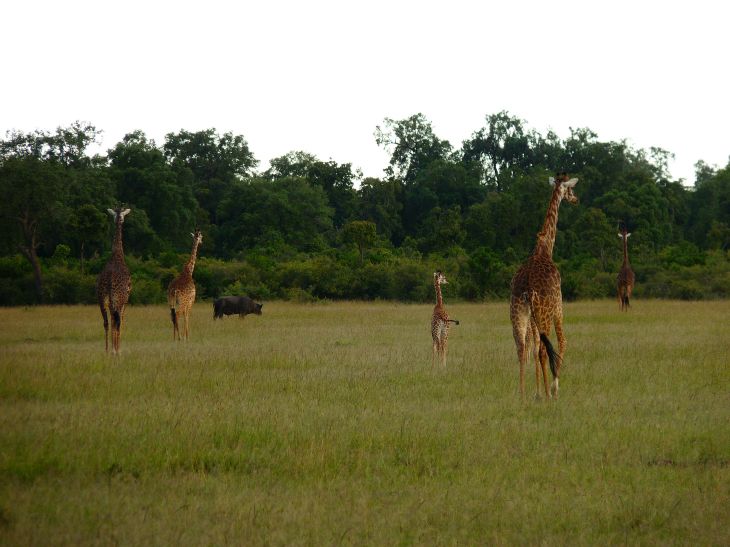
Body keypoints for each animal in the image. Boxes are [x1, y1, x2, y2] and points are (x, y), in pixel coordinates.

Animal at [510, 173, 578, 399]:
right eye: (570, 189)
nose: (576, 199)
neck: (544, 249)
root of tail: (528, 287)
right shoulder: (559, 305)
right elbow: (562, 341)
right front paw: (554, 388)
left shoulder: (533, 316)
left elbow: (532, 346)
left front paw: (538, 391)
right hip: (545, 312)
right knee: (542, 349)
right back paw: (548, 394)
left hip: (518, 311)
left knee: (522, 347)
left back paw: (523, 393)